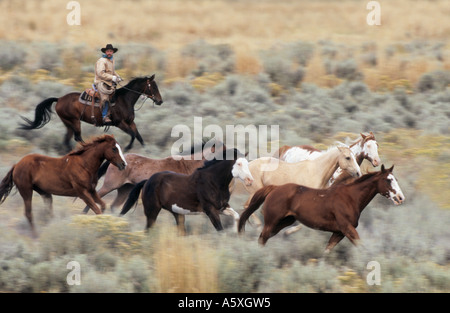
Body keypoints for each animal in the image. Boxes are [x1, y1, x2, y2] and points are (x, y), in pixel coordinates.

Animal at [20, 73, 163, 151]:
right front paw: (127, 148)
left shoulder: (131, 122)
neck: (124, 100)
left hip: (69, 124)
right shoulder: (120, 123)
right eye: (153, 87)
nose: (160, 101)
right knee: (77, 137)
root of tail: (59, 99)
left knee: (67, 140)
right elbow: (133, 135)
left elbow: (139, 137)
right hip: (74, 121)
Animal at [81, 138, 225, 212]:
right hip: (109, 186)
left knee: (114, 206)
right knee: (94, 198)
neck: (186, 165)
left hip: (124, 189)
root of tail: (117, 160)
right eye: (224, 150)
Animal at [119, 147, 253, 233]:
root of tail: (147, 181)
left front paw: (237, 233)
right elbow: (220, 230)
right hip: (152, 211)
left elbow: (236, 216)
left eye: (247, 163)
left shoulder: (222, 207)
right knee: (148, 230)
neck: (213, 182)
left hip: (177, 213)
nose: (250, 180)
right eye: (239, 164)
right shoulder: (210, 210)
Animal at [237, 165, 406, 252]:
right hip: (272, 221)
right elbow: (361, 246)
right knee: (262, 238)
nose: (400, 197)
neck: (350, 197)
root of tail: (275, 188)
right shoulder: (348, 229)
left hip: (285, 222)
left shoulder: (338, 233)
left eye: (395, 179)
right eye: (388, 180)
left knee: (265, 238)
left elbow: (327, 250)